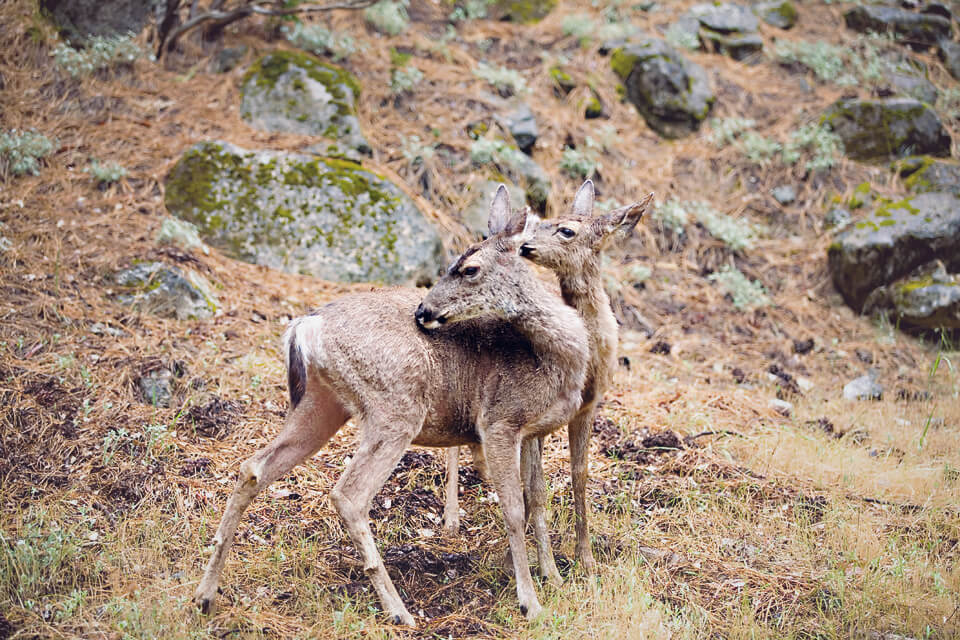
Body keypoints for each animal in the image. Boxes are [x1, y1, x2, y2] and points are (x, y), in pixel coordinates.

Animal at [191, 185, 588, 624]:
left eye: (469, 269)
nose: (423, 311)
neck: (553, 357)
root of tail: (306, 324)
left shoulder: (535, 431)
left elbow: (538, 499)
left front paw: (553, 578)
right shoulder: (499, 421)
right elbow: (514, 509)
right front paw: (530, 602)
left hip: (322, 402)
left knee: (253, 468)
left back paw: (206, 595)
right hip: (395, 407)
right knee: (349, 495)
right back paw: (398, 611)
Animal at [440, 180, 652, 580]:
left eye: (566, 230)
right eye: (542, 222)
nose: (525, 246)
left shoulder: (589, 406)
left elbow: (579, 475)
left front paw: (586, 560)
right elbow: (536, 489)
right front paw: (528, 562)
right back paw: (451, 518)